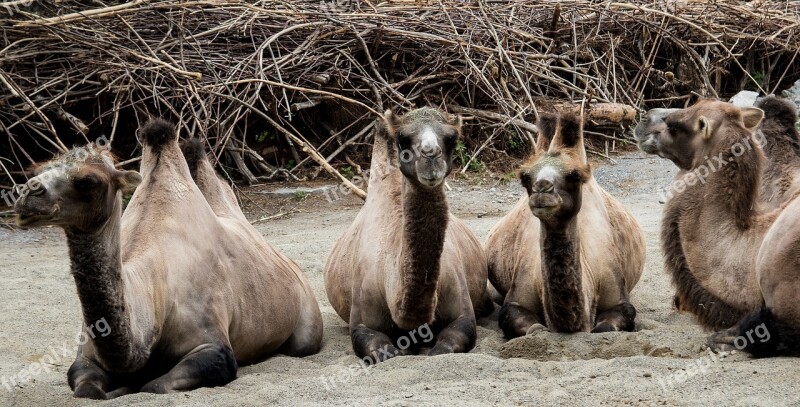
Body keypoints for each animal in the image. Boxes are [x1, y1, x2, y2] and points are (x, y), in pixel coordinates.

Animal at [13, 119, 322, 400]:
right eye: (36, 171)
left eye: (88, 181)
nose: (28, 193)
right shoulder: (85, 357)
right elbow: (86, 390)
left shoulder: (213, 346)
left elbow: (155, 386)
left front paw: (130, 387)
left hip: (307, 322)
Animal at [322, 107, 490, 362]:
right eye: (403, 139)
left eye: (452, 138)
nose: (430, 155)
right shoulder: (362, 322)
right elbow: (384, 351)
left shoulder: (463, 315)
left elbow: (446, 346)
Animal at [484, 111, 648, 338]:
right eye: (525, 176)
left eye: (575, 176)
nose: (542, 189)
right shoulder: (516, 298)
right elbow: (533, 328)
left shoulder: (618, 297)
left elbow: (605, 326)